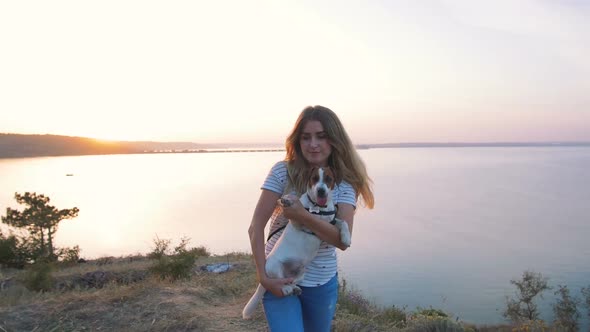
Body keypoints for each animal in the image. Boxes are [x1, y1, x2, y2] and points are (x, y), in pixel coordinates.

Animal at [244, 167, 354, 320]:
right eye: (314, 178)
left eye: (328, 178)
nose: (321, 191)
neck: (318, 208)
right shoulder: (296, 221)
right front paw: (287, 201)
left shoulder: (330, 223)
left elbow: (343, 222)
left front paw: (346, 238)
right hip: (274, 266)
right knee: (279, 282)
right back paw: (286, 289)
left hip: (302, 272)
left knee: (291, 280)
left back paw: (294, 288)